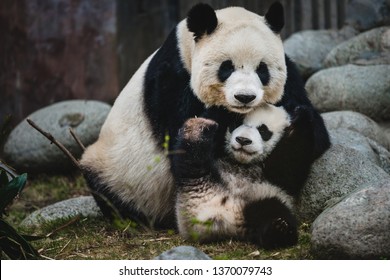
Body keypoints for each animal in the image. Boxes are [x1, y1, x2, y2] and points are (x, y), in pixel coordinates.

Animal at [80, 2, 330, 229]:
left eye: (262, 69)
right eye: (227, 67)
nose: (245, 97)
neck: (187, 47)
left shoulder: (290, 77)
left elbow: (316, 135)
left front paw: (297, 121)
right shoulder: (171, 80)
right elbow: (183, 142)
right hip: (117, 171)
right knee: (108, 191)